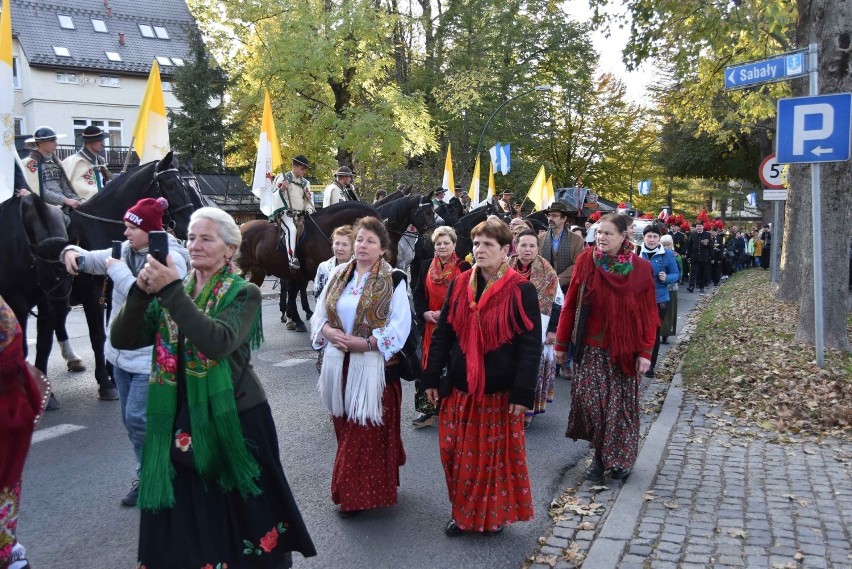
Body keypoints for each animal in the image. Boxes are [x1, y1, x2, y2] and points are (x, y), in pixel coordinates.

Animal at [38, 151, 198, 400]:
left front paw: (113, 373)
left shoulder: (112, 292)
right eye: (171, 184)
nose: (189, 225)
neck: (99, 228)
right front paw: (105, 382)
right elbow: (97, 335)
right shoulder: (92, 295)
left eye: (188, 184)